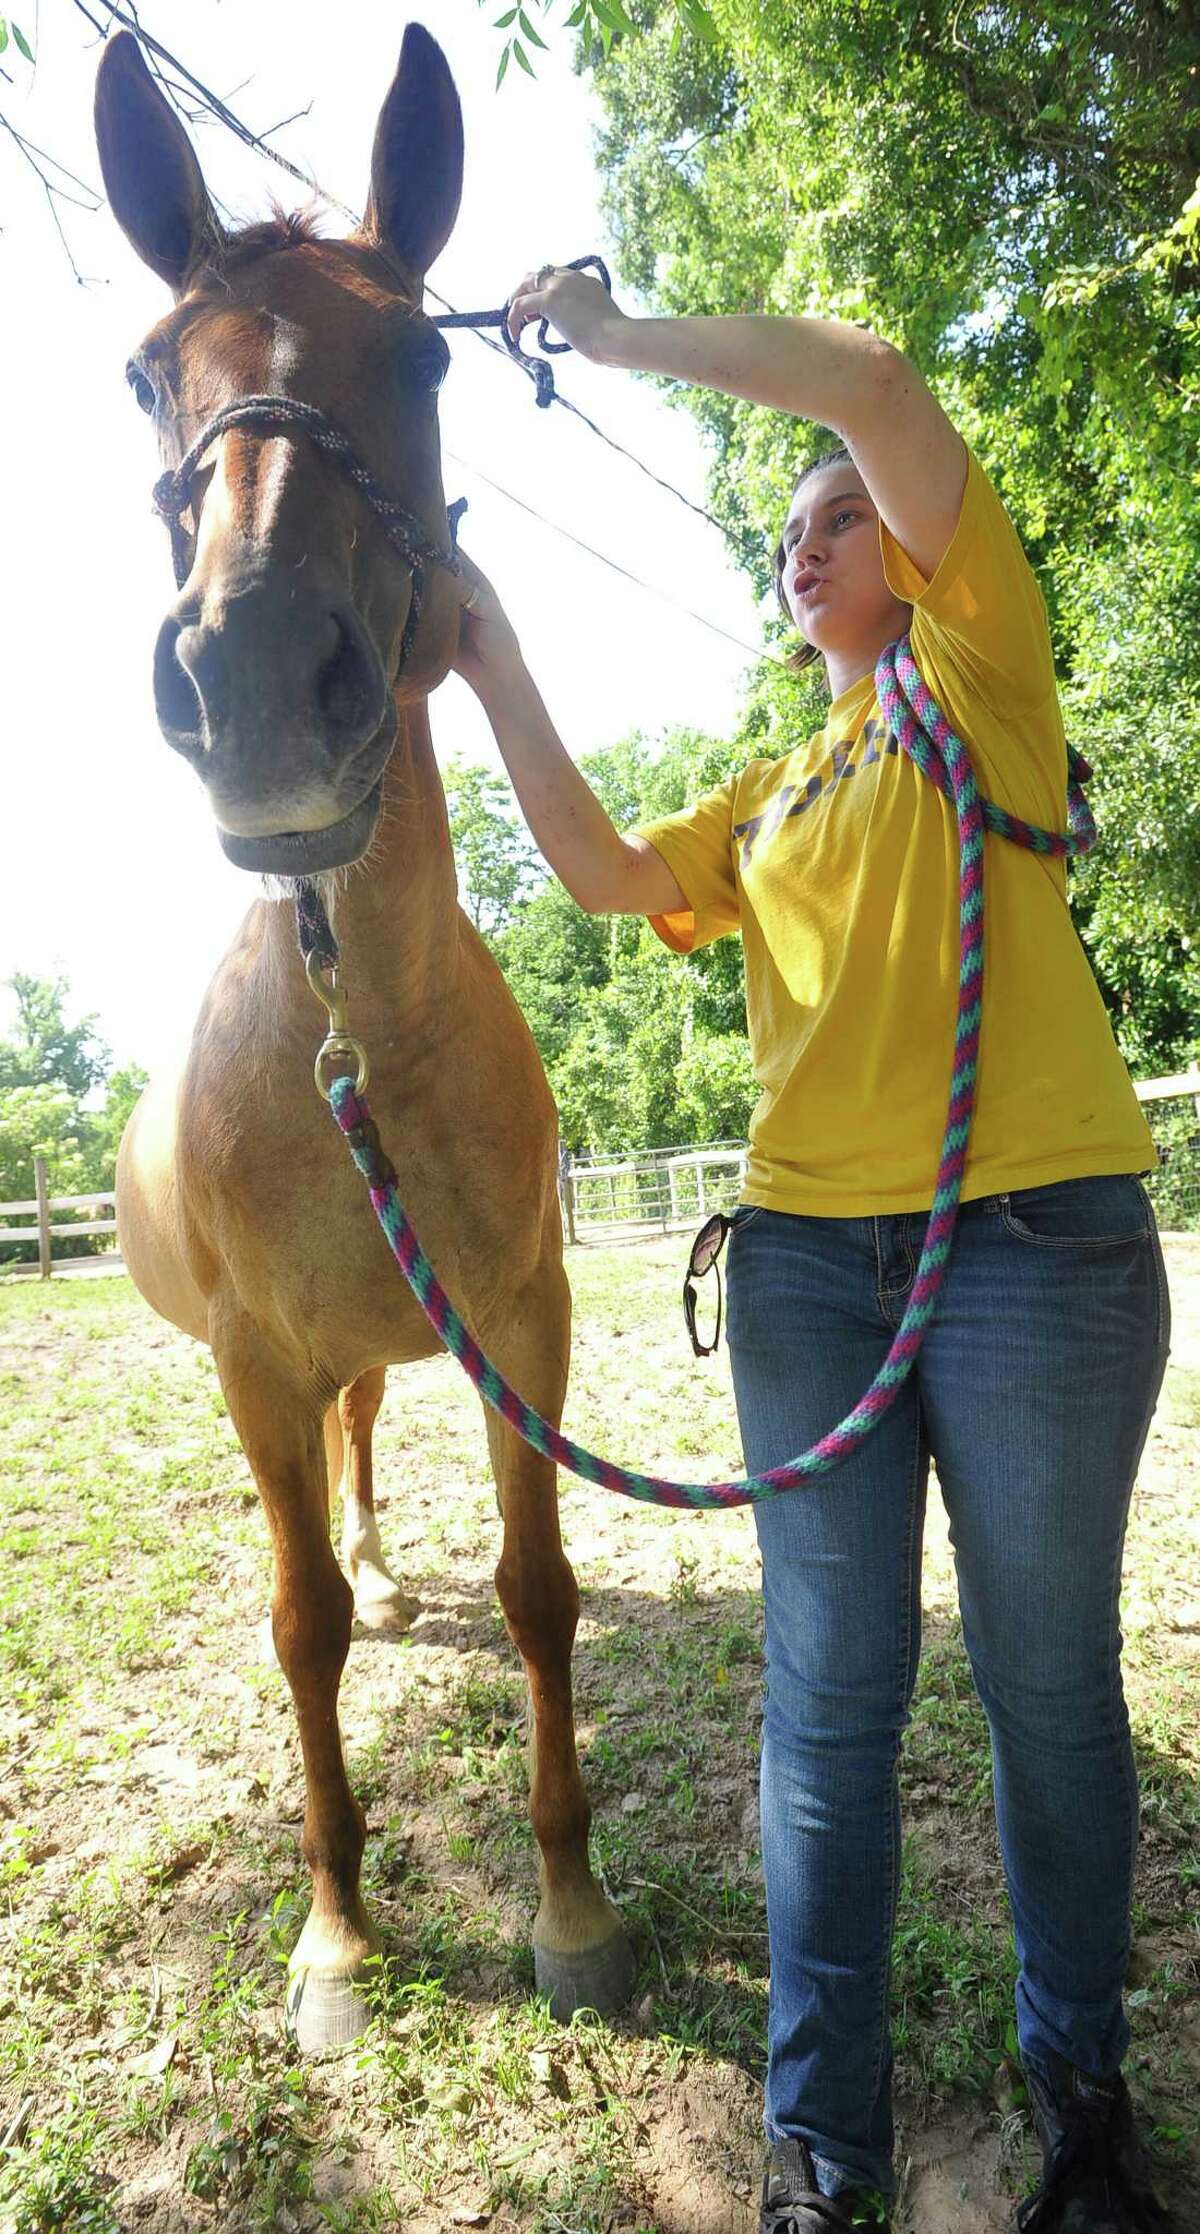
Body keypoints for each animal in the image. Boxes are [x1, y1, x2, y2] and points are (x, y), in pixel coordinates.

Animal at [93, 21, 635, 2053]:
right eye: (151, 372)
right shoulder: (254, 1363)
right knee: (330, 1489)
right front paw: (334, 1930)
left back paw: (406, 1570)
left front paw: (569, 1904)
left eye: (422, 356)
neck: (351, 1024)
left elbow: (543, 1587)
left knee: (372, 1447)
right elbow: (297, 1621)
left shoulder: (521, 1322)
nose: (253, 682)